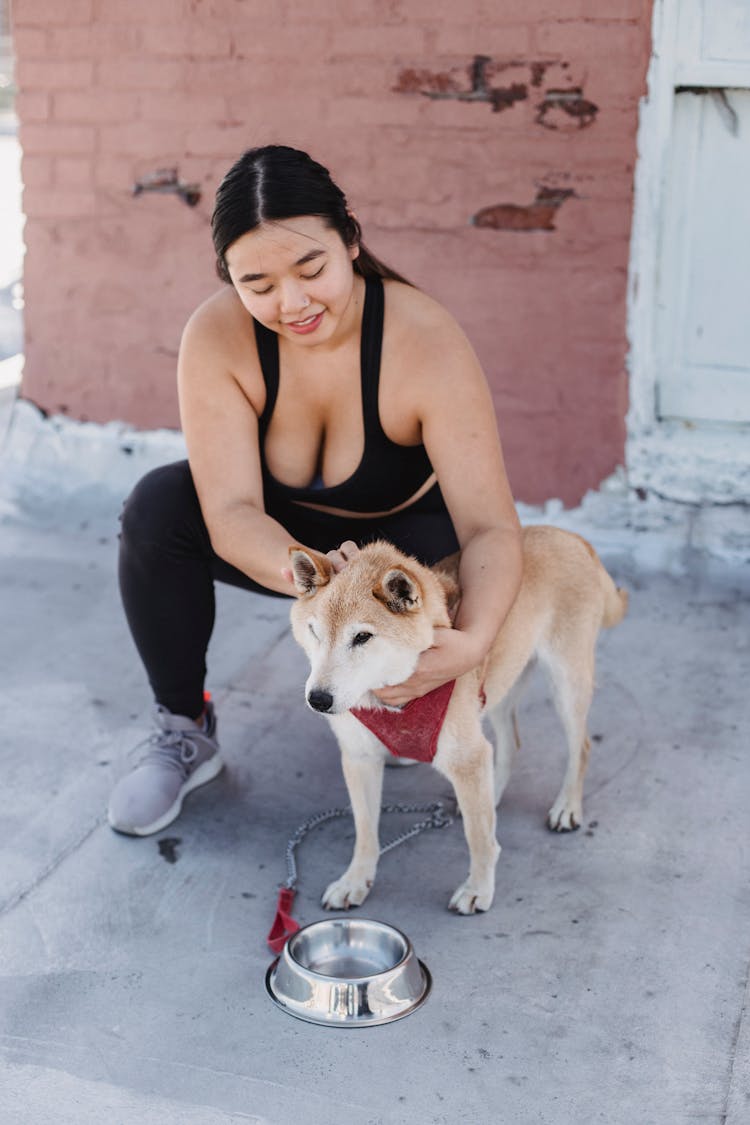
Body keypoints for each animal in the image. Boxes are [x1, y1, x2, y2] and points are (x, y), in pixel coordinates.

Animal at [287, 526, 629, 913]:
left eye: (362, 637)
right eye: (314, 631)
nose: (318, 699)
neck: (387, 697)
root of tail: (570, 536)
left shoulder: (466, 756)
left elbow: (479, 839)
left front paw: (478, 889)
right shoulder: (360, 758)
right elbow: (365, 832)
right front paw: (355, 881)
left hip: (566, 685)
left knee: (580, 746)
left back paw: (567, 807)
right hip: (497, 688)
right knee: (510, 746)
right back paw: (495, 792)